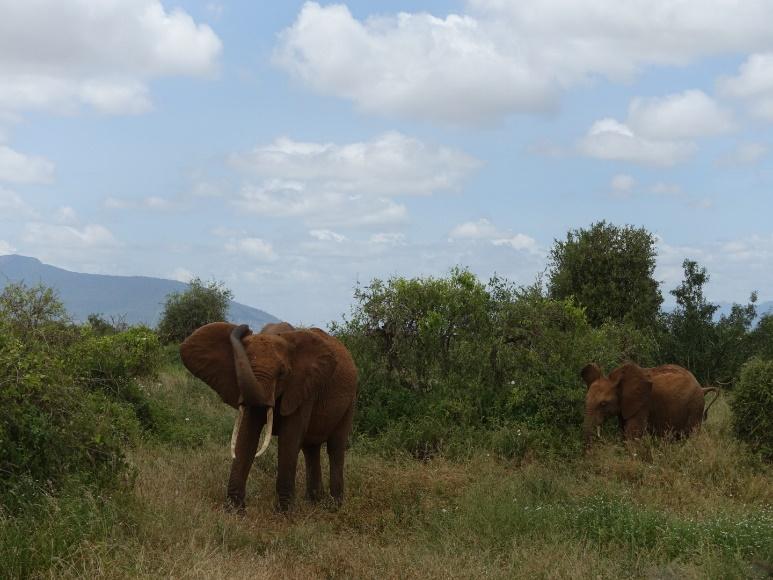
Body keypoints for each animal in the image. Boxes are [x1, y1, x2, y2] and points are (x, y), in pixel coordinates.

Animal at [179, 320, 358, 510]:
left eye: (282, 373)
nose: (245, 327)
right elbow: (246, 436)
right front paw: (234, 511)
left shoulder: (302, 388)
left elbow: (289, 439)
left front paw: (285, 512)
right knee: (310, 448)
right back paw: (314, 501)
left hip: (350, 401)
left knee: (336, 447)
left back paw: (334, 506)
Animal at [584, 362, 720, 448]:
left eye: (603, 403)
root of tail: (702, 388)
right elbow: (624, 431)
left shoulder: (643, 404)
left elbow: (632, 434)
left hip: (695, 406)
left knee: (691, 434)